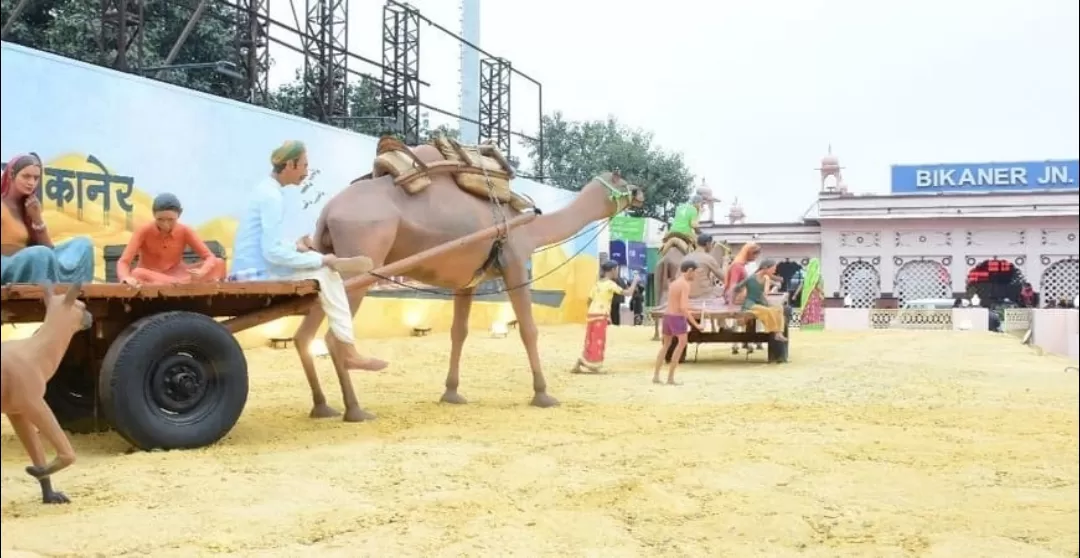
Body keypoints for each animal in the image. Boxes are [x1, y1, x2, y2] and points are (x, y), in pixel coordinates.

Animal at [1, 280, 92, 502]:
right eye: (82, 306)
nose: (91, 317)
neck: (35, 353)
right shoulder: (34, 402)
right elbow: (67, 453)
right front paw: (36, 471)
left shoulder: (17, 410)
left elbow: (36, 450)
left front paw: (49, 494)